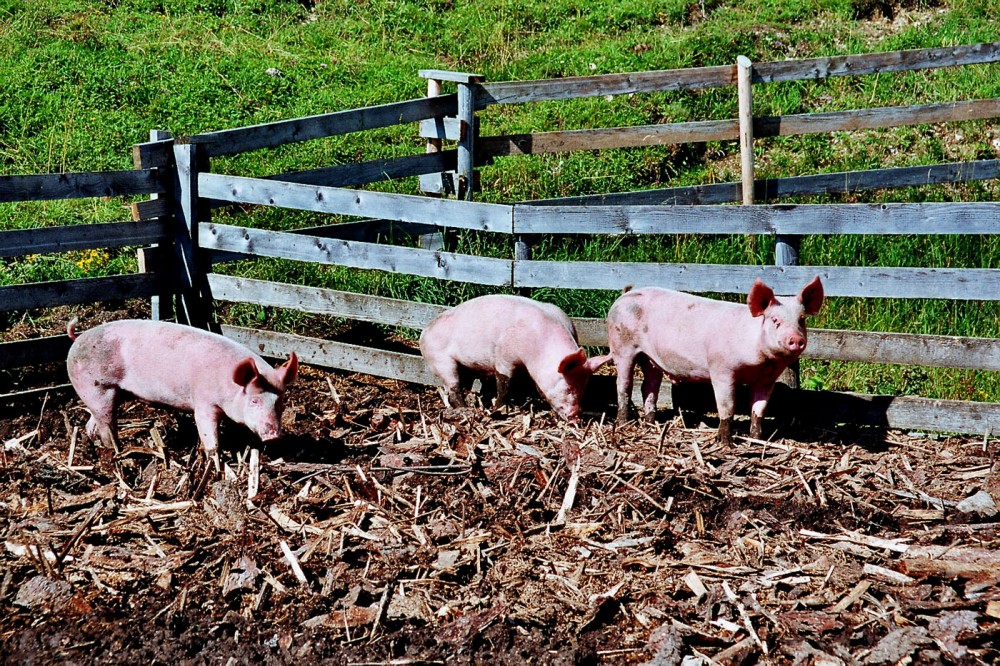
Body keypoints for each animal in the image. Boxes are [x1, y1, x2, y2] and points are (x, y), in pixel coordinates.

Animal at [68, 320, 296, 460]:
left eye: (279, 402)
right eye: (254, 401)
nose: (274, 435)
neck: (227, 384)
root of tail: (77, 338)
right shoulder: (203, 402)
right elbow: (208, 433)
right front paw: (215, 459)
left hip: (103, 395)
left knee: (92, 422)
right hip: (97, 388)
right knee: (106, 425)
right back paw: (116, 451)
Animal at [420, 294, 612, 418]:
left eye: (584, 388)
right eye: (568, 387)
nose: (575, 416)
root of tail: (424, 332)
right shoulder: (504, 358)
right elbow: (504, 385)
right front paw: (498, 409)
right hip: (442, 361)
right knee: (453, 388)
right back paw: (465, 410)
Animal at [604, 274, 824, 440]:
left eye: (801, 320)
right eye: (775, 320)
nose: (796, 339)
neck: (761, 362)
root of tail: (625, 295)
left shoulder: (767, 379)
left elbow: (759, 409)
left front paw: (757, 439)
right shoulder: (721, 369)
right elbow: (727, 406)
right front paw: (725, 443)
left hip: (650, 358)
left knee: (649, 387)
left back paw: (651, 423)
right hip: (622, 347)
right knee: (623, 385)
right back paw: (624, 423)